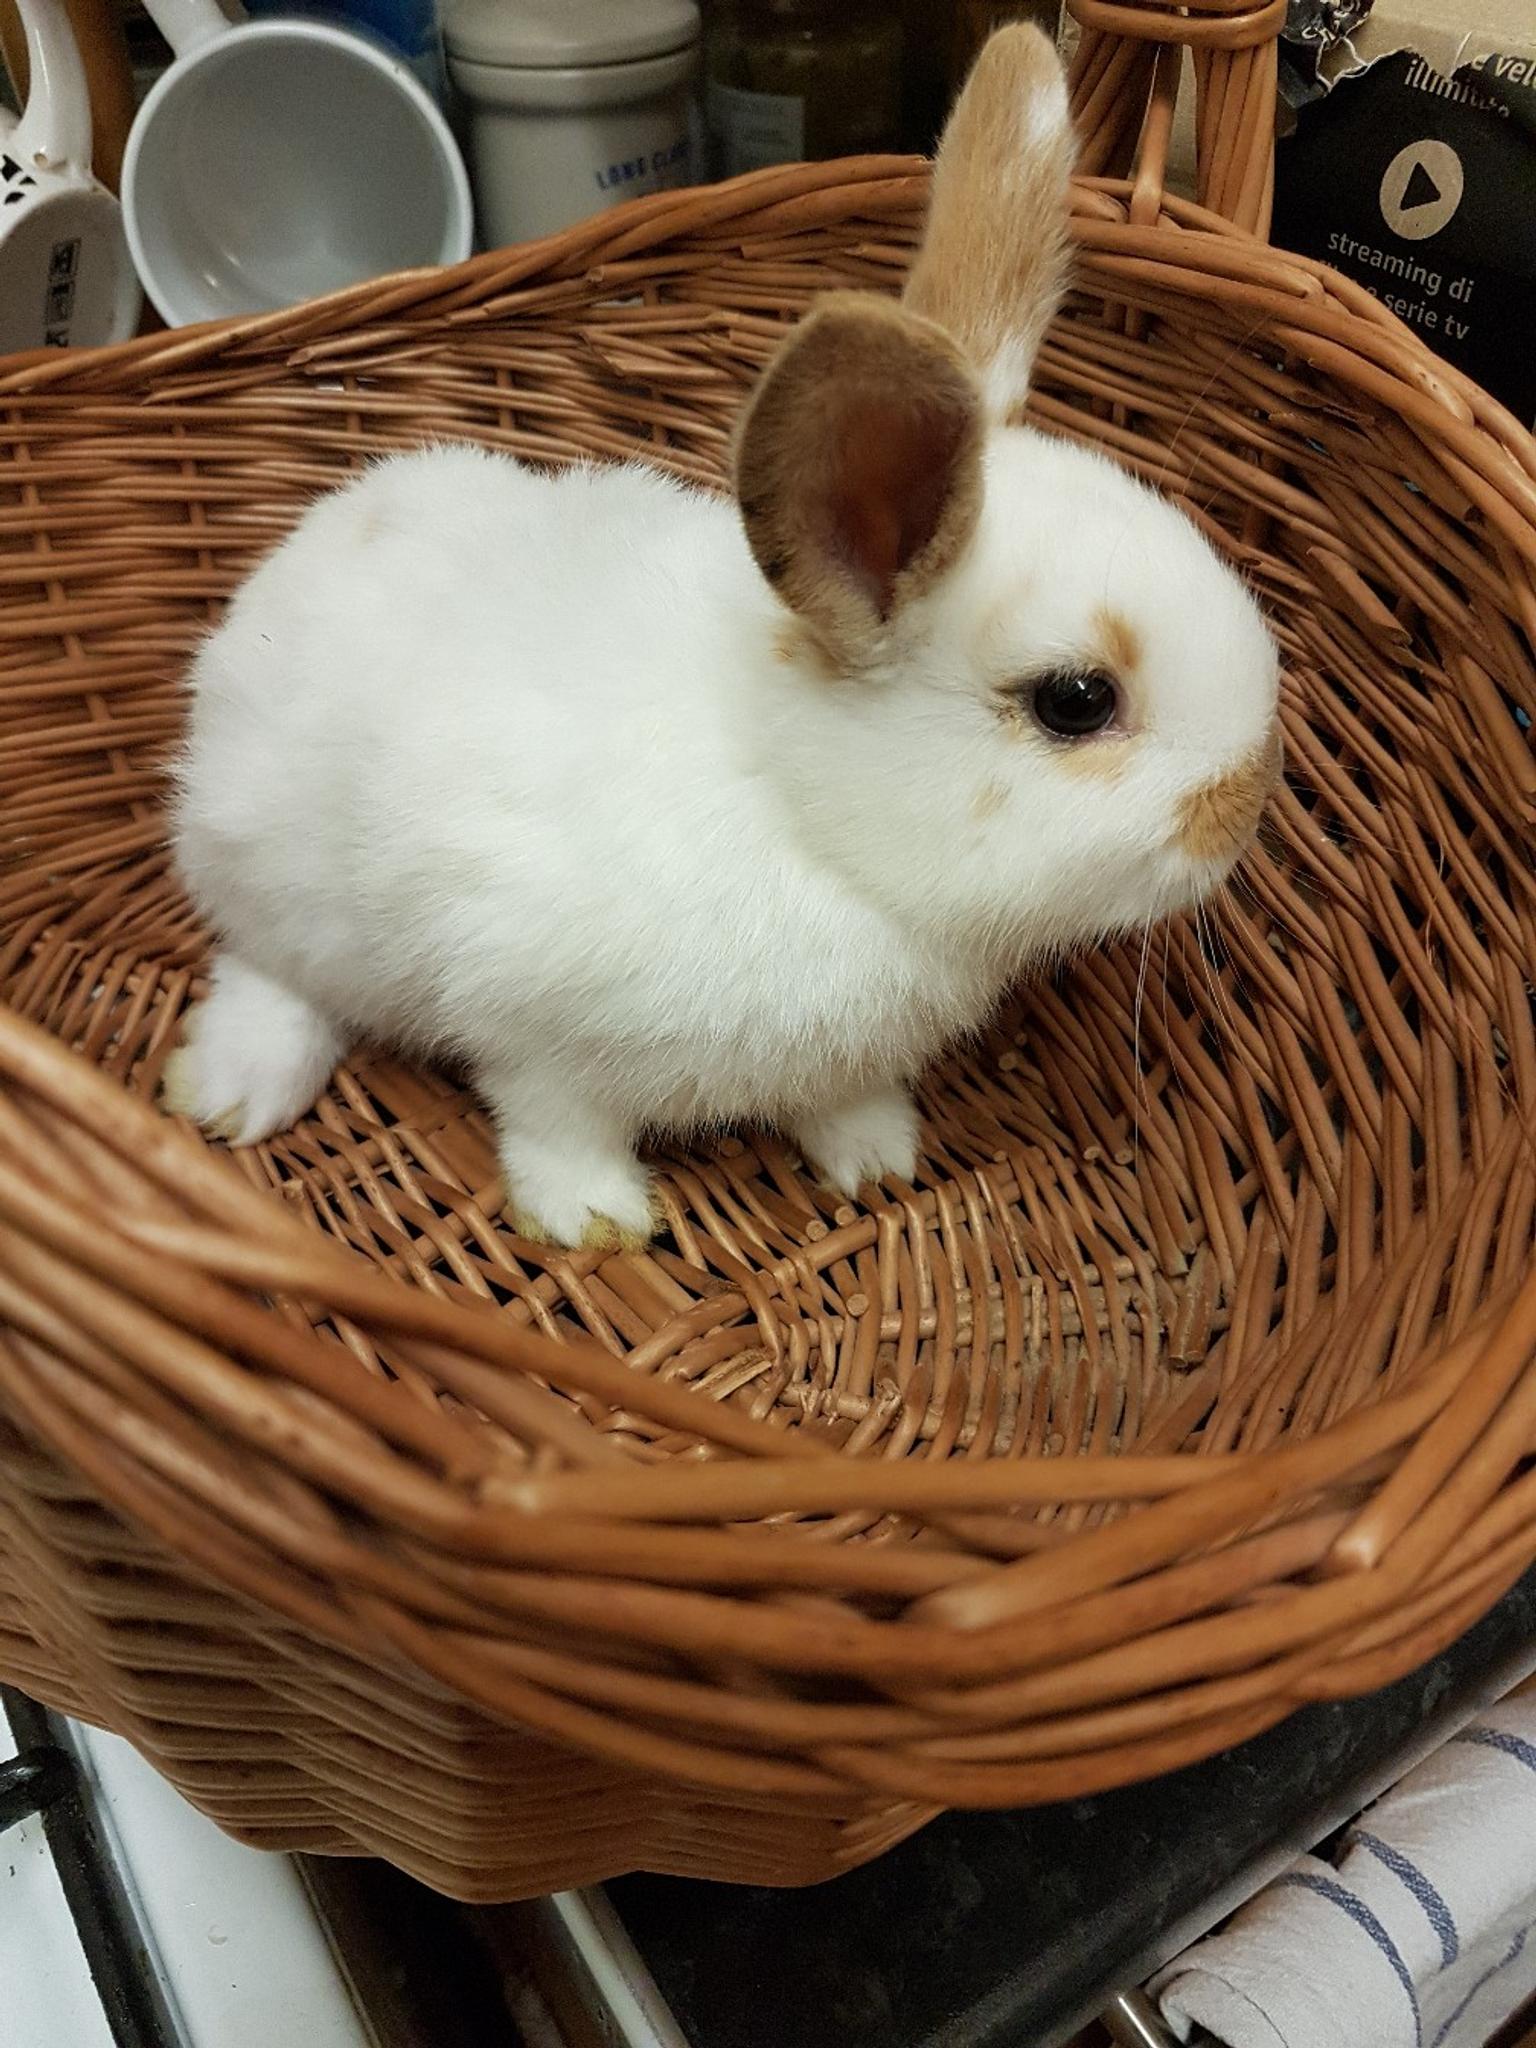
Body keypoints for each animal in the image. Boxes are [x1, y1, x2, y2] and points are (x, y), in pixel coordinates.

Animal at [165, 23, 1281, 1251]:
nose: (1246, 808)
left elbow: (843, 1098)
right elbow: (553, 1120)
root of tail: (298, 551)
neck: (801, 808)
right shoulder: (527, 1021)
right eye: (1075, 701)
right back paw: (231, 1095)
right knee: (270, 973)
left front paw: (877, 1164)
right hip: (277, 888)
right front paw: (594, 1222)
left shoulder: (835, 1055)